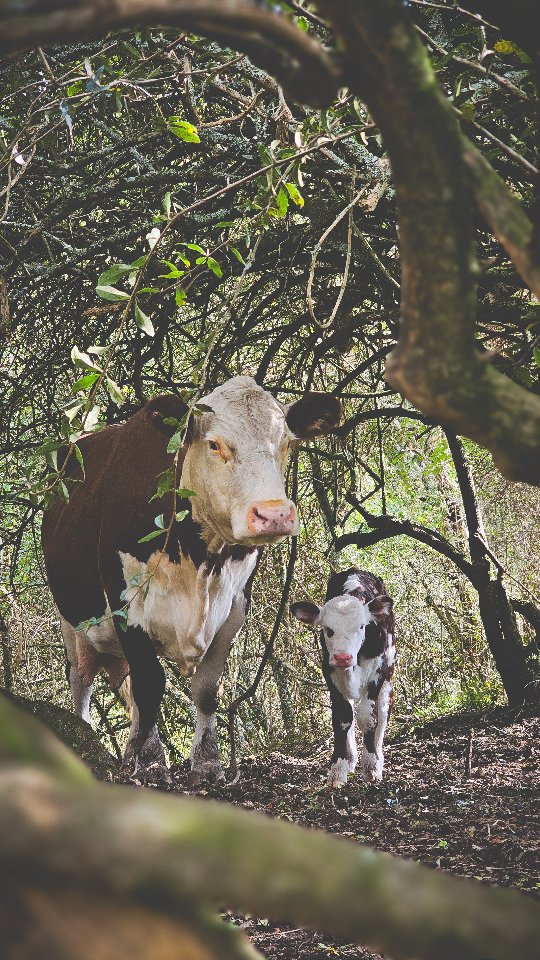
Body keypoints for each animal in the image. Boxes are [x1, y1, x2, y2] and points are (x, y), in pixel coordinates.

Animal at [42, 376, 341, 785]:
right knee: (82, 685)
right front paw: (152, 763)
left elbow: (205, 688)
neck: (201, 558)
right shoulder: (125, 602)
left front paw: (207, 762)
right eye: (214, 444)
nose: (274, 514)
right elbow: (151, 684)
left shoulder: (234, 608)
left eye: (286, 442)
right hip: (73, 626)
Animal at [291, 568, 395, 788]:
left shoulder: (379, 668)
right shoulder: (330, 671)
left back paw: (377, 756)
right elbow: (342, 717)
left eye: (362, 627)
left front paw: (371, 767)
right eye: (328, 629)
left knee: (383, 710)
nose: (342, 657)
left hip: (389, 675)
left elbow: (368, 717)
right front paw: (338, 769)